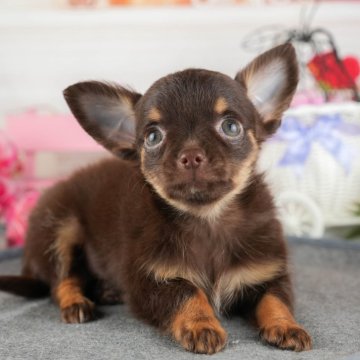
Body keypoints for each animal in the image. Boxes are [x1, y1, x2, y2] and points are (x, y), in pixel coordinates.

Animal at [0, 43, 312, 352]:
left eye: (231, 126)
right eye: (153, 137)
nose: (191, 155)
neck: (207, 219)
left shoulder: (267, 274)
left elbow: (275, 300)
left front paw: (286, 325)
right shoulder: (151, 281)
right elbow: (188, 292)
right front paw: (202, 325)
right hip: (59, 228)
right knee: (62, 280)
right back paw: (77, 303)